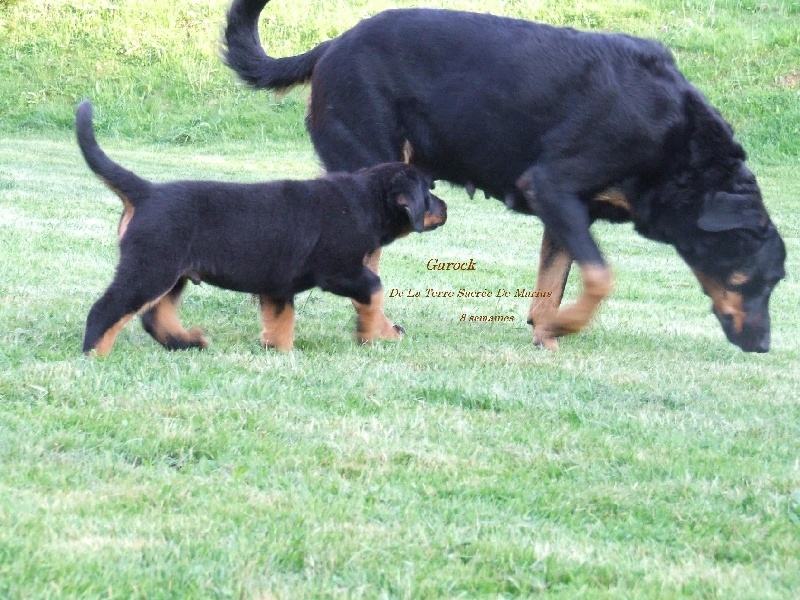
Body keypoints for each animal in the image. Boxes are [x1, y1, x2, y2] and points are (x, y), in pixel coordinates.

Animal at [74, 100, 446, 354]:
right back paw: (95, 354)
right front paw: (374, 335)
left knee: (154, 316)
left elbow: (281, 319)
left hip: (171, 273)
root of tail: (146, 191)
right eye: (429, 194)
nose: (446, 208)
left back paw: (188, 343)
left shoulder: (277, 283)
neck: (365, 200)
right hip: (151, 267)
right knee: (107, 309)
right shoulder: (340, 271)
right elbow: (375, 292)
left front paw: (279, 351)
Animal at [225, 1, 788, 352]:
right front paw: (566, 325)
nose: (764, 346)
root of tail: (329, 45)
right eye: (761, 279)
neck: (674, 140)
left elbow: (553, 284)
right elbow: (599, 278)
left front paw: (547, 334)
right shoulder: (552, 187)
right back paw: (371, 332)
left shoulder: (568, 213)